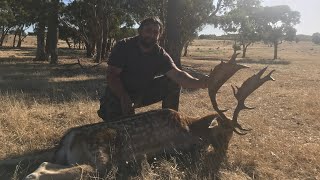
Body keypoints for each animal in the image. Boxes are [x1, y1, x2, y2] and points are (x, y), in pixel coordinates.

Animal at [20, 53, 276, 180]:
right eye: (223, 133)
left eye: (233, 136)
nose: (223, 156)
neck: (191, 128)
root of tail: (68, 138)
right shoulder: (182, 146)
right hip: (102, 154)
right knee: (83, 170)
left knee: (47, 163)